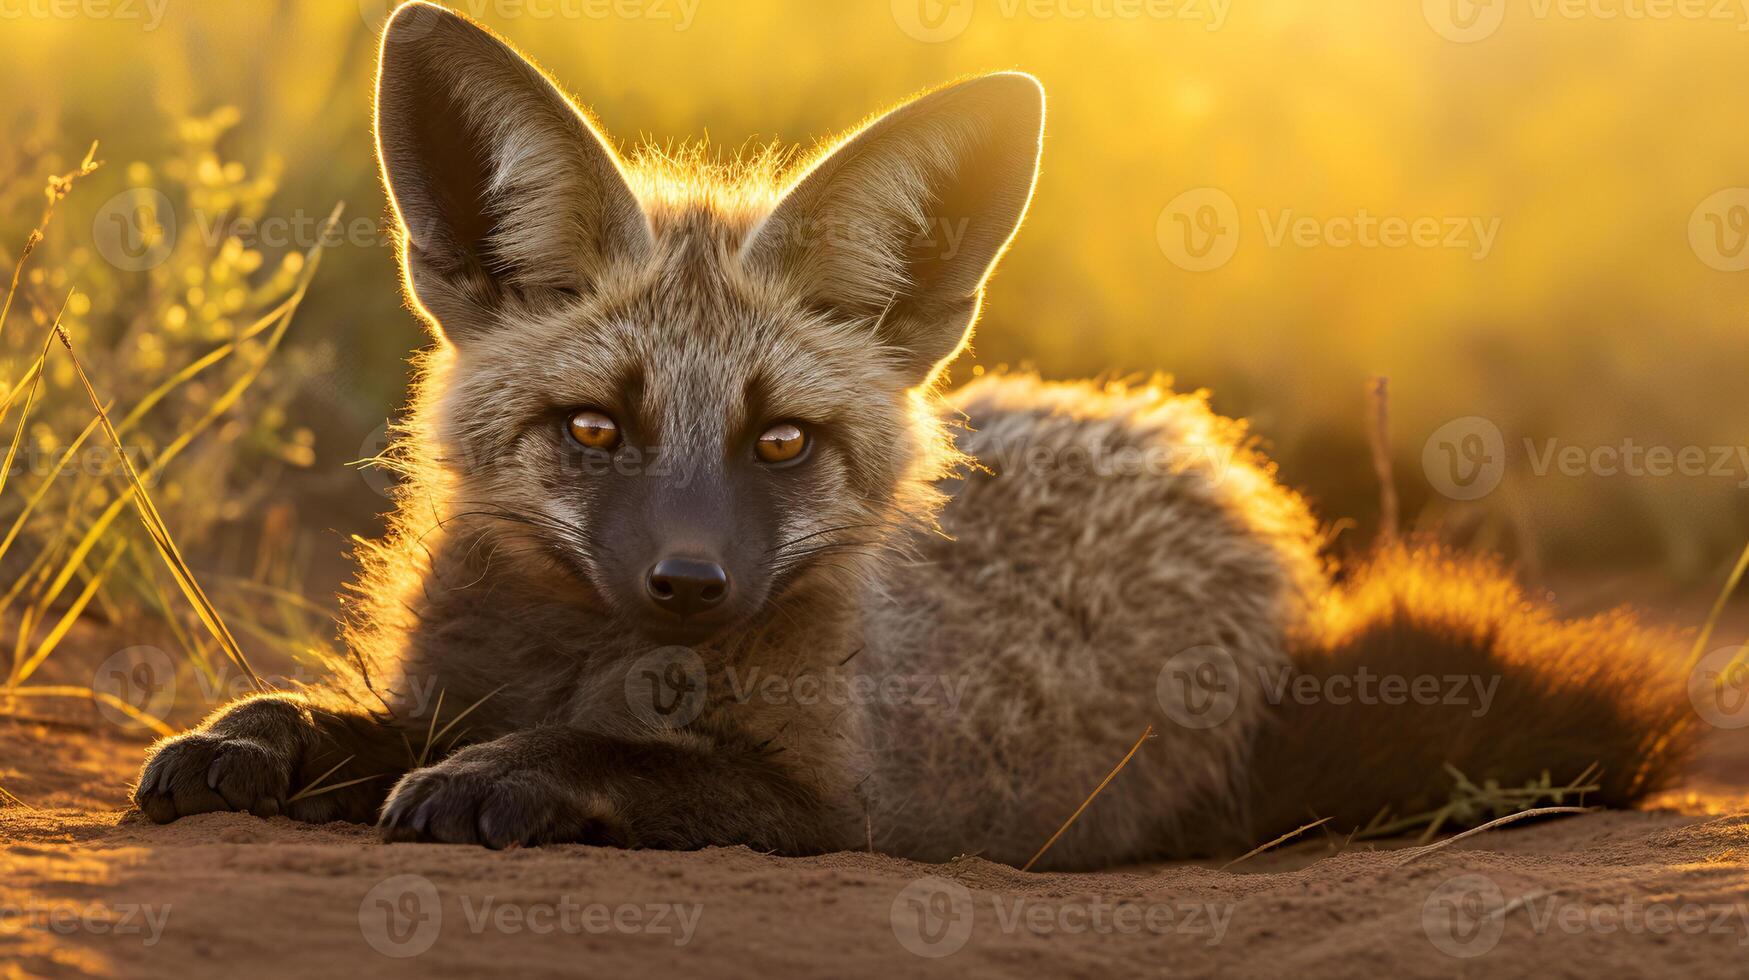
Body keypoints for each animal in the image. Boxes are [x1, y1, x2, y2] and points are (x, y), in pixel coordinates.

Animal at [132, 1, 1693, 871]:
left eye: (780, 443)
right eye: (593, 426)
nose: (688, 584)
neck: (594, 657)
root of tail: (1210, 456)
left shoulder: (838, 806)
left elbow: (615, 761)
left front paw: (510, 776)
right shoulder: (444, 688)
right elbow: (321, 720)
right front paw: (244, 741)